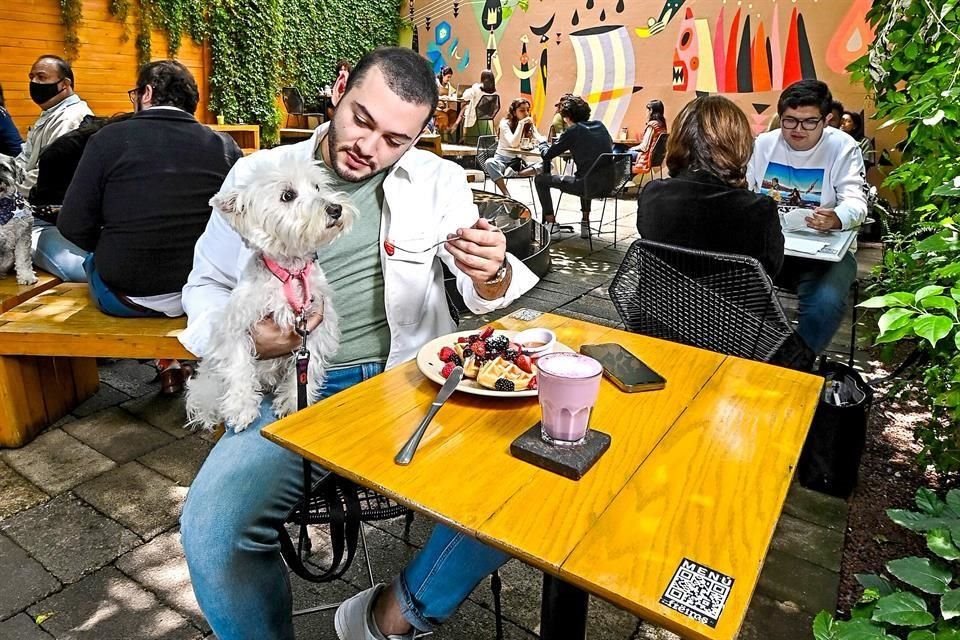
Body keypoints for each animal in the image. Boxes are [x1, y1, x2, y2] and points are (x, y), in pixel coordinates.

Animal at [185, 162, 356, 432]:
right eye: (288, 195)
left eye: (317, 186)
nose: (335, 208)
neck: (291, 272)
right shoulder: (237, 325)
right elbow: (239, 364)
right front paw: (241, 409)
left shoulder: (316, 327)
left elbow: (309, 366)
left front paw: (293, 403)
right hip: (208, 381)